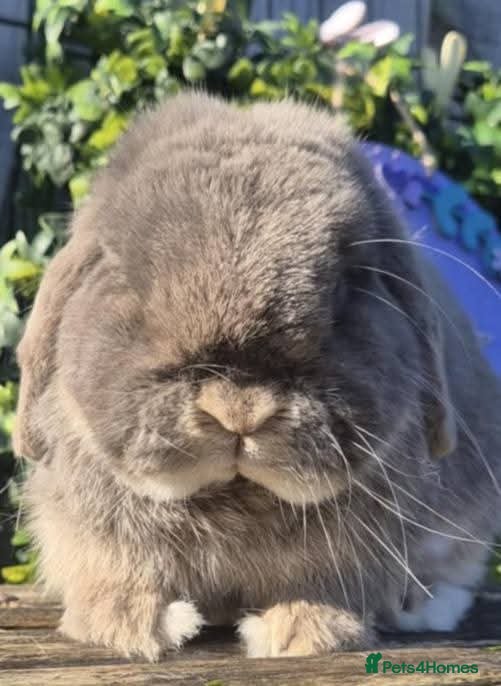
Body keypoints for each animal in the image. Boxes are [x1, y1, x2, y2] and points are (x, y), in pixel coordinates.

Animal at [14, 92, 501, 660]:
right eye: (128, 279)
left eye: (349, 285)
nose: (238, 412)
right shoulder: (97, 530)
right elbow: (125, 571)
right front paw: (132, 627)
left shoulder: (348, 553)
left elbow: (323, 584)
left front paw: (300, 632)